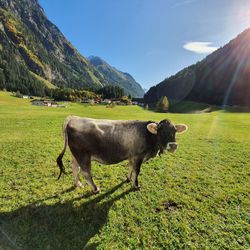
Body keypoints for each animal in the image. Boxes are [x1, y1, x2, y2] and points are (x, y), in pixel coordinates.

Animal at [56, 115, 188, 193]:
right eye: (160, 130)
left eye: (174, 131)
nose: (173, 146)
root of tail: (73, 118)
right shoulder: (139, 156)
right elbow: (137, 171)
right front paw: (136, 185)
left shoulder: (132, 156)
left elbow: (130, 167)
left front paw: (128, 179)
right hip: (83, 156)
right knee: (85, 172)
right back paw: (95, 188)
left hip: (75, 155)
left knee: (75, 168)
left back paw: (77, 184)